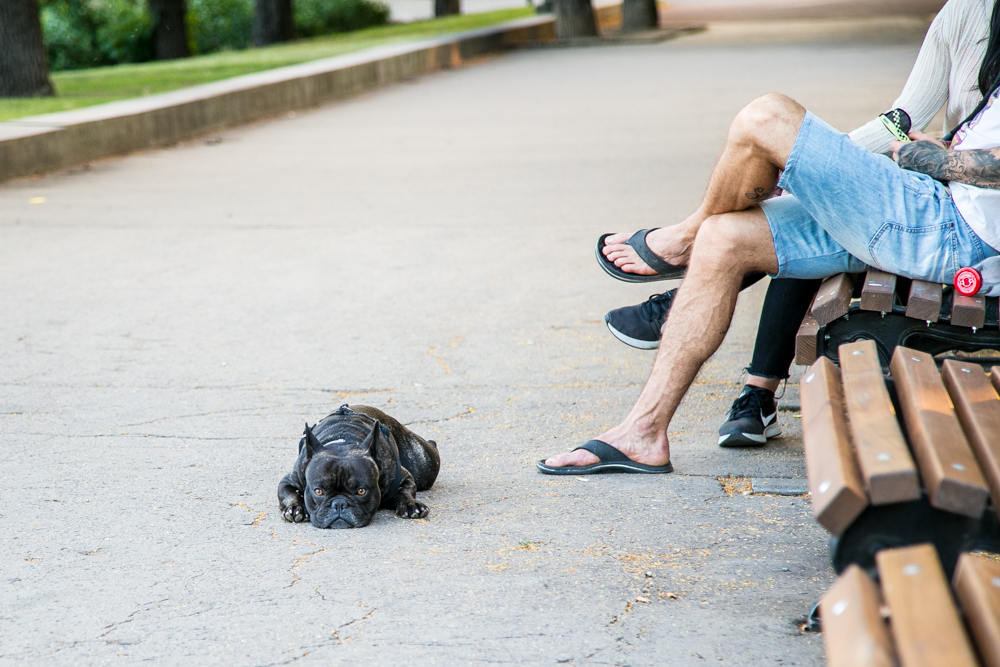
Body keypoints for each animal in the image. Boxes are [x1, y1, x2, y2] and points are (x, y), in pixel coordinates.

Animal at [280, 404, 440, 528]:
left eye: (361, 491)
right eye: (318, 491)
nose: (339, 504)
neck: (343, 441)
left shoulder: (403, 477)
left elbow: (405, 491)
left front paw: (410, 504)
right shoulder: (289, 480)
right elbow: (290, 493)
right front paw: (294, 508)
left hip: (424, 466)